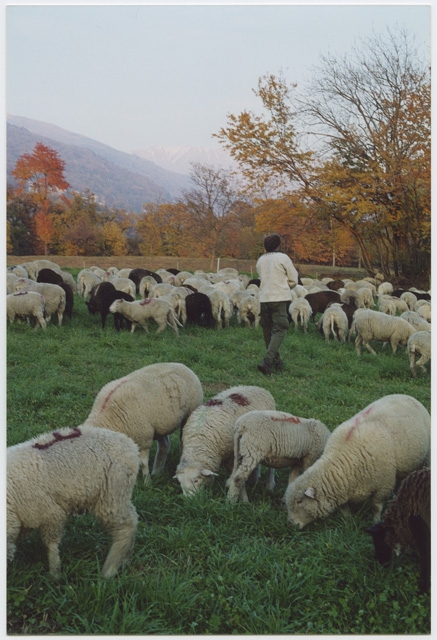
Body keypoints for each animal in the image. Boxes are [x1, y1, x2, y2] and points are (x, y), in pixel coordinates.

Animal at [7, 425, 140, 581]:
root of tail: (130, 445)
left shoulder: (50, 513)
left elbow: (50, 544)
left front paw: (55, 574)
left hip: (112, 493)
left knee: (126, 527)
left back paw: (109, 570)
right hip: (120, 494)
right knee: (133, 518)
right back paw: (125, 559)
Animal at [285, 394, 430, 529]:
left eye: (299, 501)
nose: (291, 524)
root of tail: (405, 395)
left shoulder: (383, 486)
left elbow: (376, 508)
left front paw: (376, 522)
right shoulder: (342, 488)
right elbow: (344, 507)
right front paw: (348, 521)